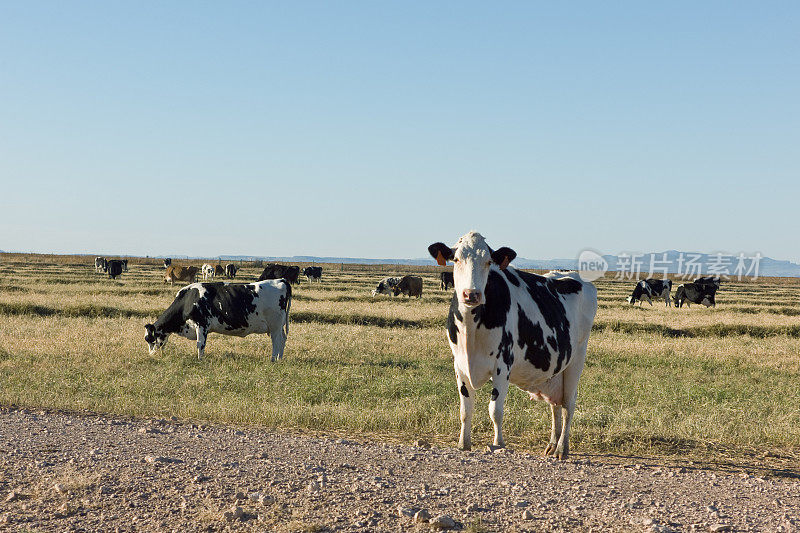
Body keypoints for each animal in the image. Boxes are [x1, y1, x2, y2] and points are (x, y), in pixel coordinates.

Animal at [145, 278, 292, 362]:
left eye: (150, 339)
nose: (151, 356)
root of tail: (281, 280)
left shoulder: (202, 325)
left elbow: (200, 344)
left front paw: (200, 360)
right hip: (279, 325)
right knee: (283, 339)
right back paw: (280, 359)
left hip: (275, 325)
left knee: (276, 341)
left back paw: (273, 359)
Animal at [428, 231, 596, 460]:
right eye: (456, 259)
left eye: (488, 261)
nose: (471, 294)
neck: (471, 330)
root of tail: (574, 276)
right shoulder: (459, 365)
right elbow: (465, 409)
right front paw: (463, 444)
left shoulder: (502, 364)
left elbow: (495, 410)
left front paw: (498, 444)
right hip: (556, 370)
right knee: (556, 406)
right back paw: (552, 445)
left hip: (576, 359)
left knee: (568, 405)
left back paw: (562, 448)